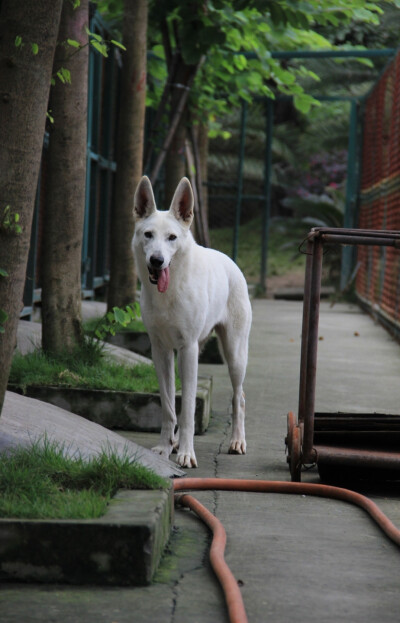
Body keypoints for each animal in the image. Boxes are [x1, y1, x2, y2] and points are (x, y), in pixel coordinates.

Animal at [133, 176, 252, 468]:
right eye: (148, 235)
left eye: (172, 238)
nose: (157, 260)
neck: (168, 292)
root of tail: (230, 261)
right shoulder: (161, 350)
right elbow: (168, 406)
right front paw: (165, 447)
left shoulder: (188, 349)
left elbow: (187, 409)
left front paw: (186, 453)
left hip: (234, 355)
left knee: (239, 397)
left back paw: (237, 441)